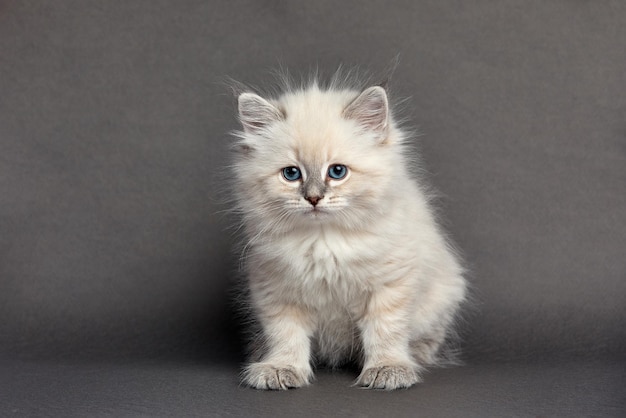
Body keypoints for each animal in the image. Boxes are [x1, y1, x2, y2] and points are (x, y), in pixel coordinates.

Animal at [229, 73, 464, 390]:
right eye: (291, 174)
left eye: (337, 171)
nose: (313, 198)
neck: (323, 240)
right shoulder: (278, 291)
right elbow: (286, 336)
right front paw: (281, 368)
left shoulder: (390, 286)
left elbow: (385, 331)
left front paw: (387, 369)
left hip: (442, 298)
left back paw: (413, 358)